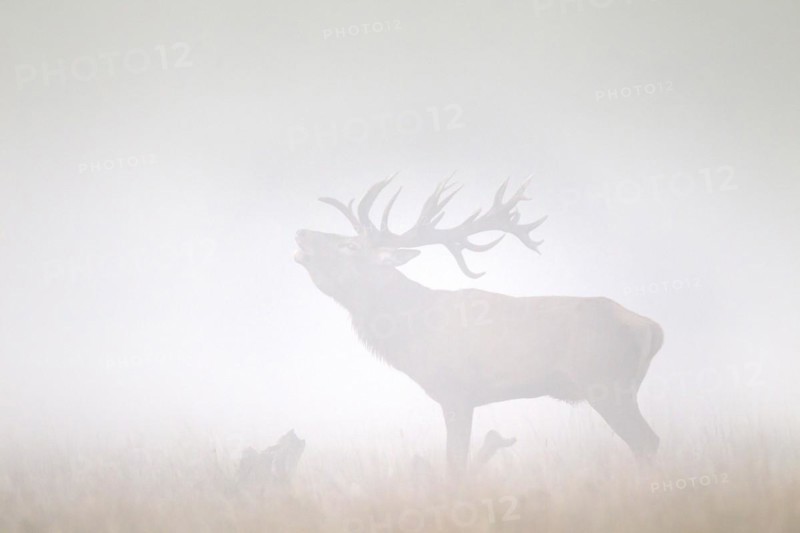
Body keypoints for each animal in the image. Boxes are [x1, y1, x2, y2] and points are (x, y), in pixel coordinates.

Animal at [295, 175, 664, 478]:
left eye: (349, 245)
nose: (301, 232)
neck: (412, 331)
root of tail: (652, 328)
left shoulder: (456, 391)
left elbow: (455, 463)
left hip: (606, 382)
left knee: (647, 441)